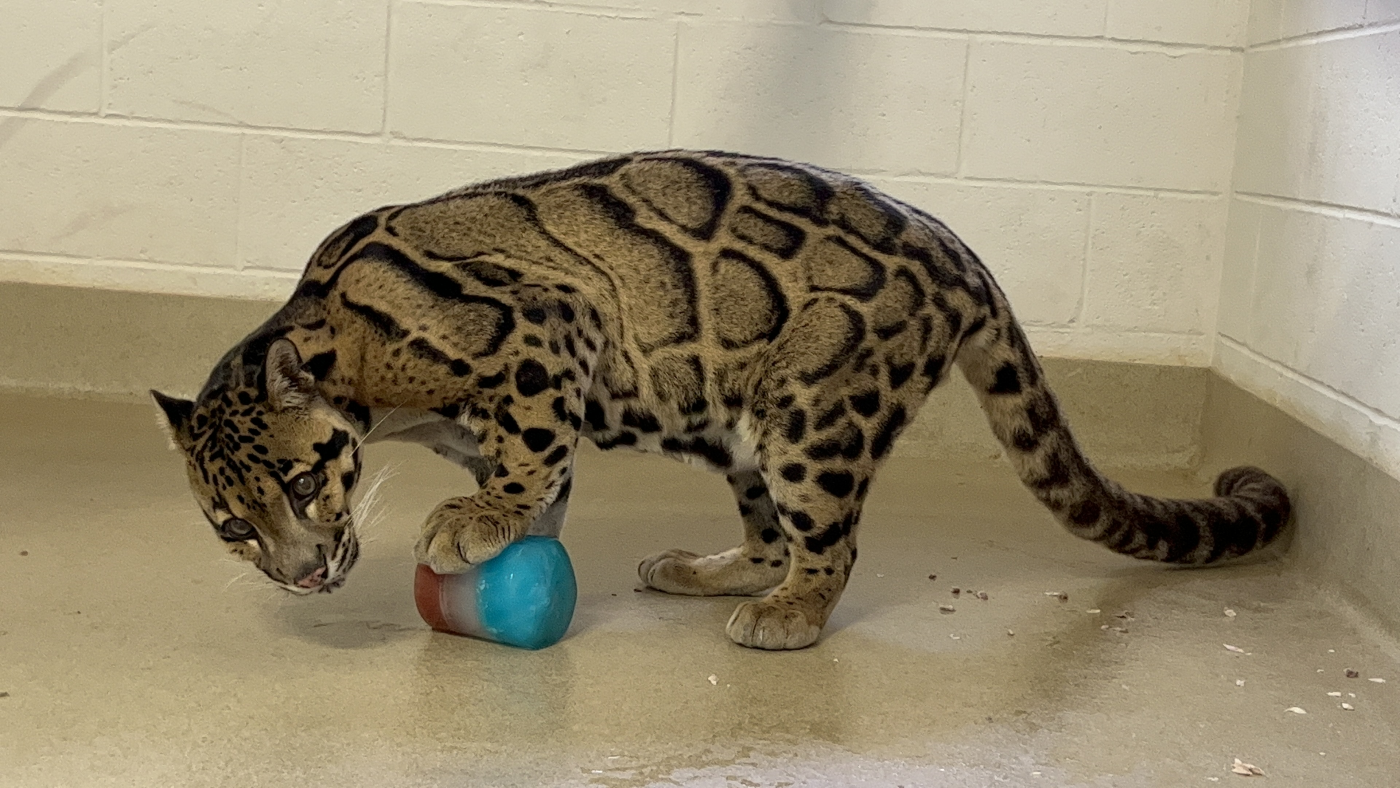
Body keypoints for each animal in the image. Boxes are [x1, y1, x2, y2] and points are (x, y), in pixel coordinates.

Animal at [156, 151, 1288, 649]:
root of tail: (960, 253)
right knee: (770, 532)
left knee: (828, 542)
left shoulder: (545, 326)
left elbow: (529, 451)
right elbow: (538, 471)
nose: (303, 573)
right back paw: (711, 570)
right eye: (233, 527)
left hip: (812, 412)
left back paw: (789, 613)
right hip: (743, 430)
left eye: (305, 481)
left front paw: (489, 517)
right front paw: (517, 528)